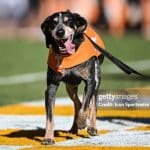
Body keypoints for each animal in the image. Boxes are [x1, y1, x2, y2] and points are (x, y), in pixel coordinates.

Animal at [40, 10, 105, 144]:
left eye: (68, 21)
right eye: (53, 23)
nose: (60, 32)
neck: (67, 55)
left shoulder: (90, 81)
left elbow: (86, 106)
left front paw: (82, 122)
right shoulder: (51, 87)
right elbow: (50, 116)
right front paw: (48, 137)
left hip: (96, 80)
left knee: (91, 104)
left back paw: (91, 127)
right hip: (70, 86)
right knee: (77, 103)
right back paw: (74, 128)